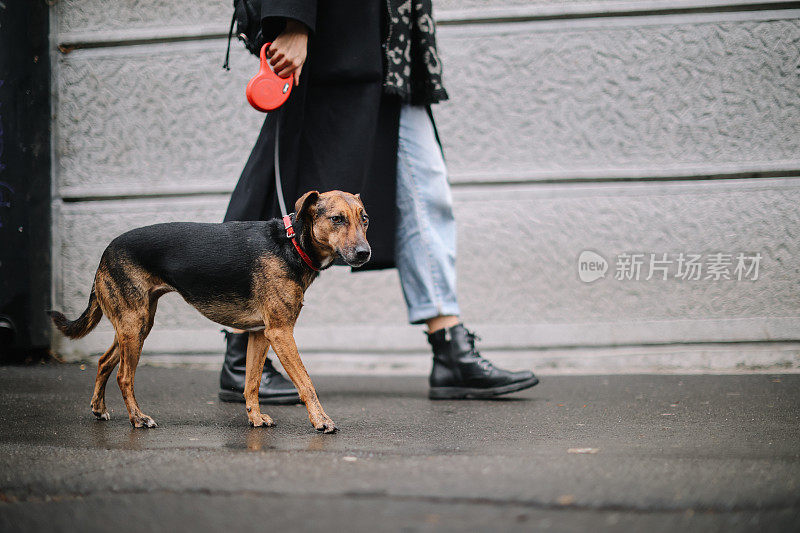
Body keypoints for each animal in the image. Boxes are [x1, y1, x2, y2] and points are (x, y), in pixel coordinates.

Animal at [51, 191, 370, 432]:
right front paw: (321, 420)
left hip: (137, 324)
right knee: (123, 376)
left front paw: (255, 418)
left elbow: (252, 382)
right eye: (337, 219)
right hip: (133, 324)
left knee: (104, 361)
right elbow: (306, 382)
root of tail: (105, 253)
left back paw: (99, 408)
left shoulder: (260, 334)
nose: (365, 253)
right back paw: (138, 418)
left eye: (364, 219)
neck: (291, 244)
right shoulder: (281, 332)